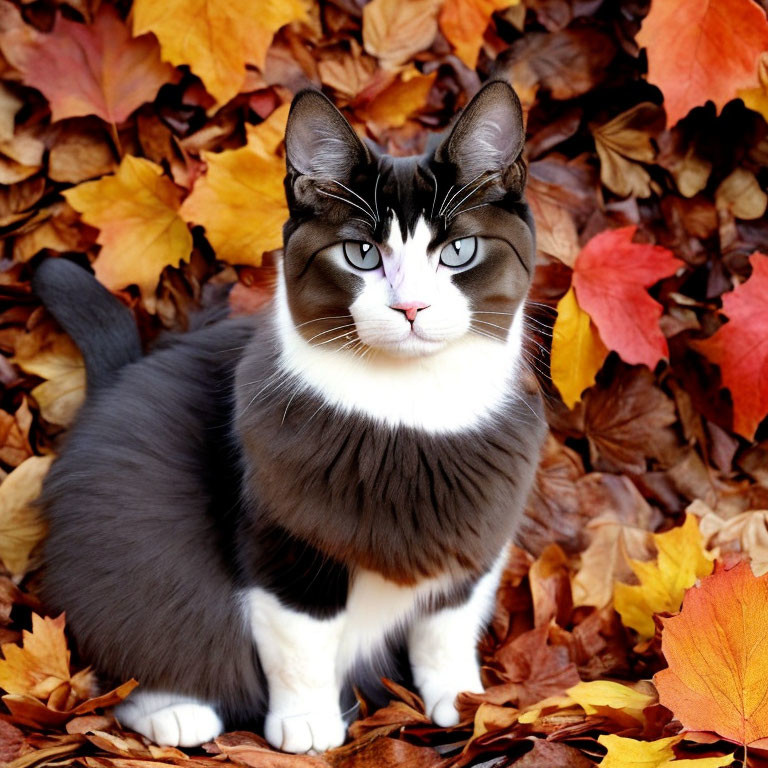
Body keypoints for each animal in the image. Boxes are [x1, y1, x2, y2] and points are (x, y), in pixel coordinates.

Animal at [31, 81, 544, 752]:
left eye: (459, 250)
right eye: (361, 253)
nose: (411, 307)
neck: (410, 406)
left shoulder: (479, 539)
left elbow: (447, 627)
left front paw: (462, 700)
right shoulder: (283, 541)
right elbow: (301, 640)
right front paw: (306, 723)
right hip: (134, 547)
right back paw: (175, 710)